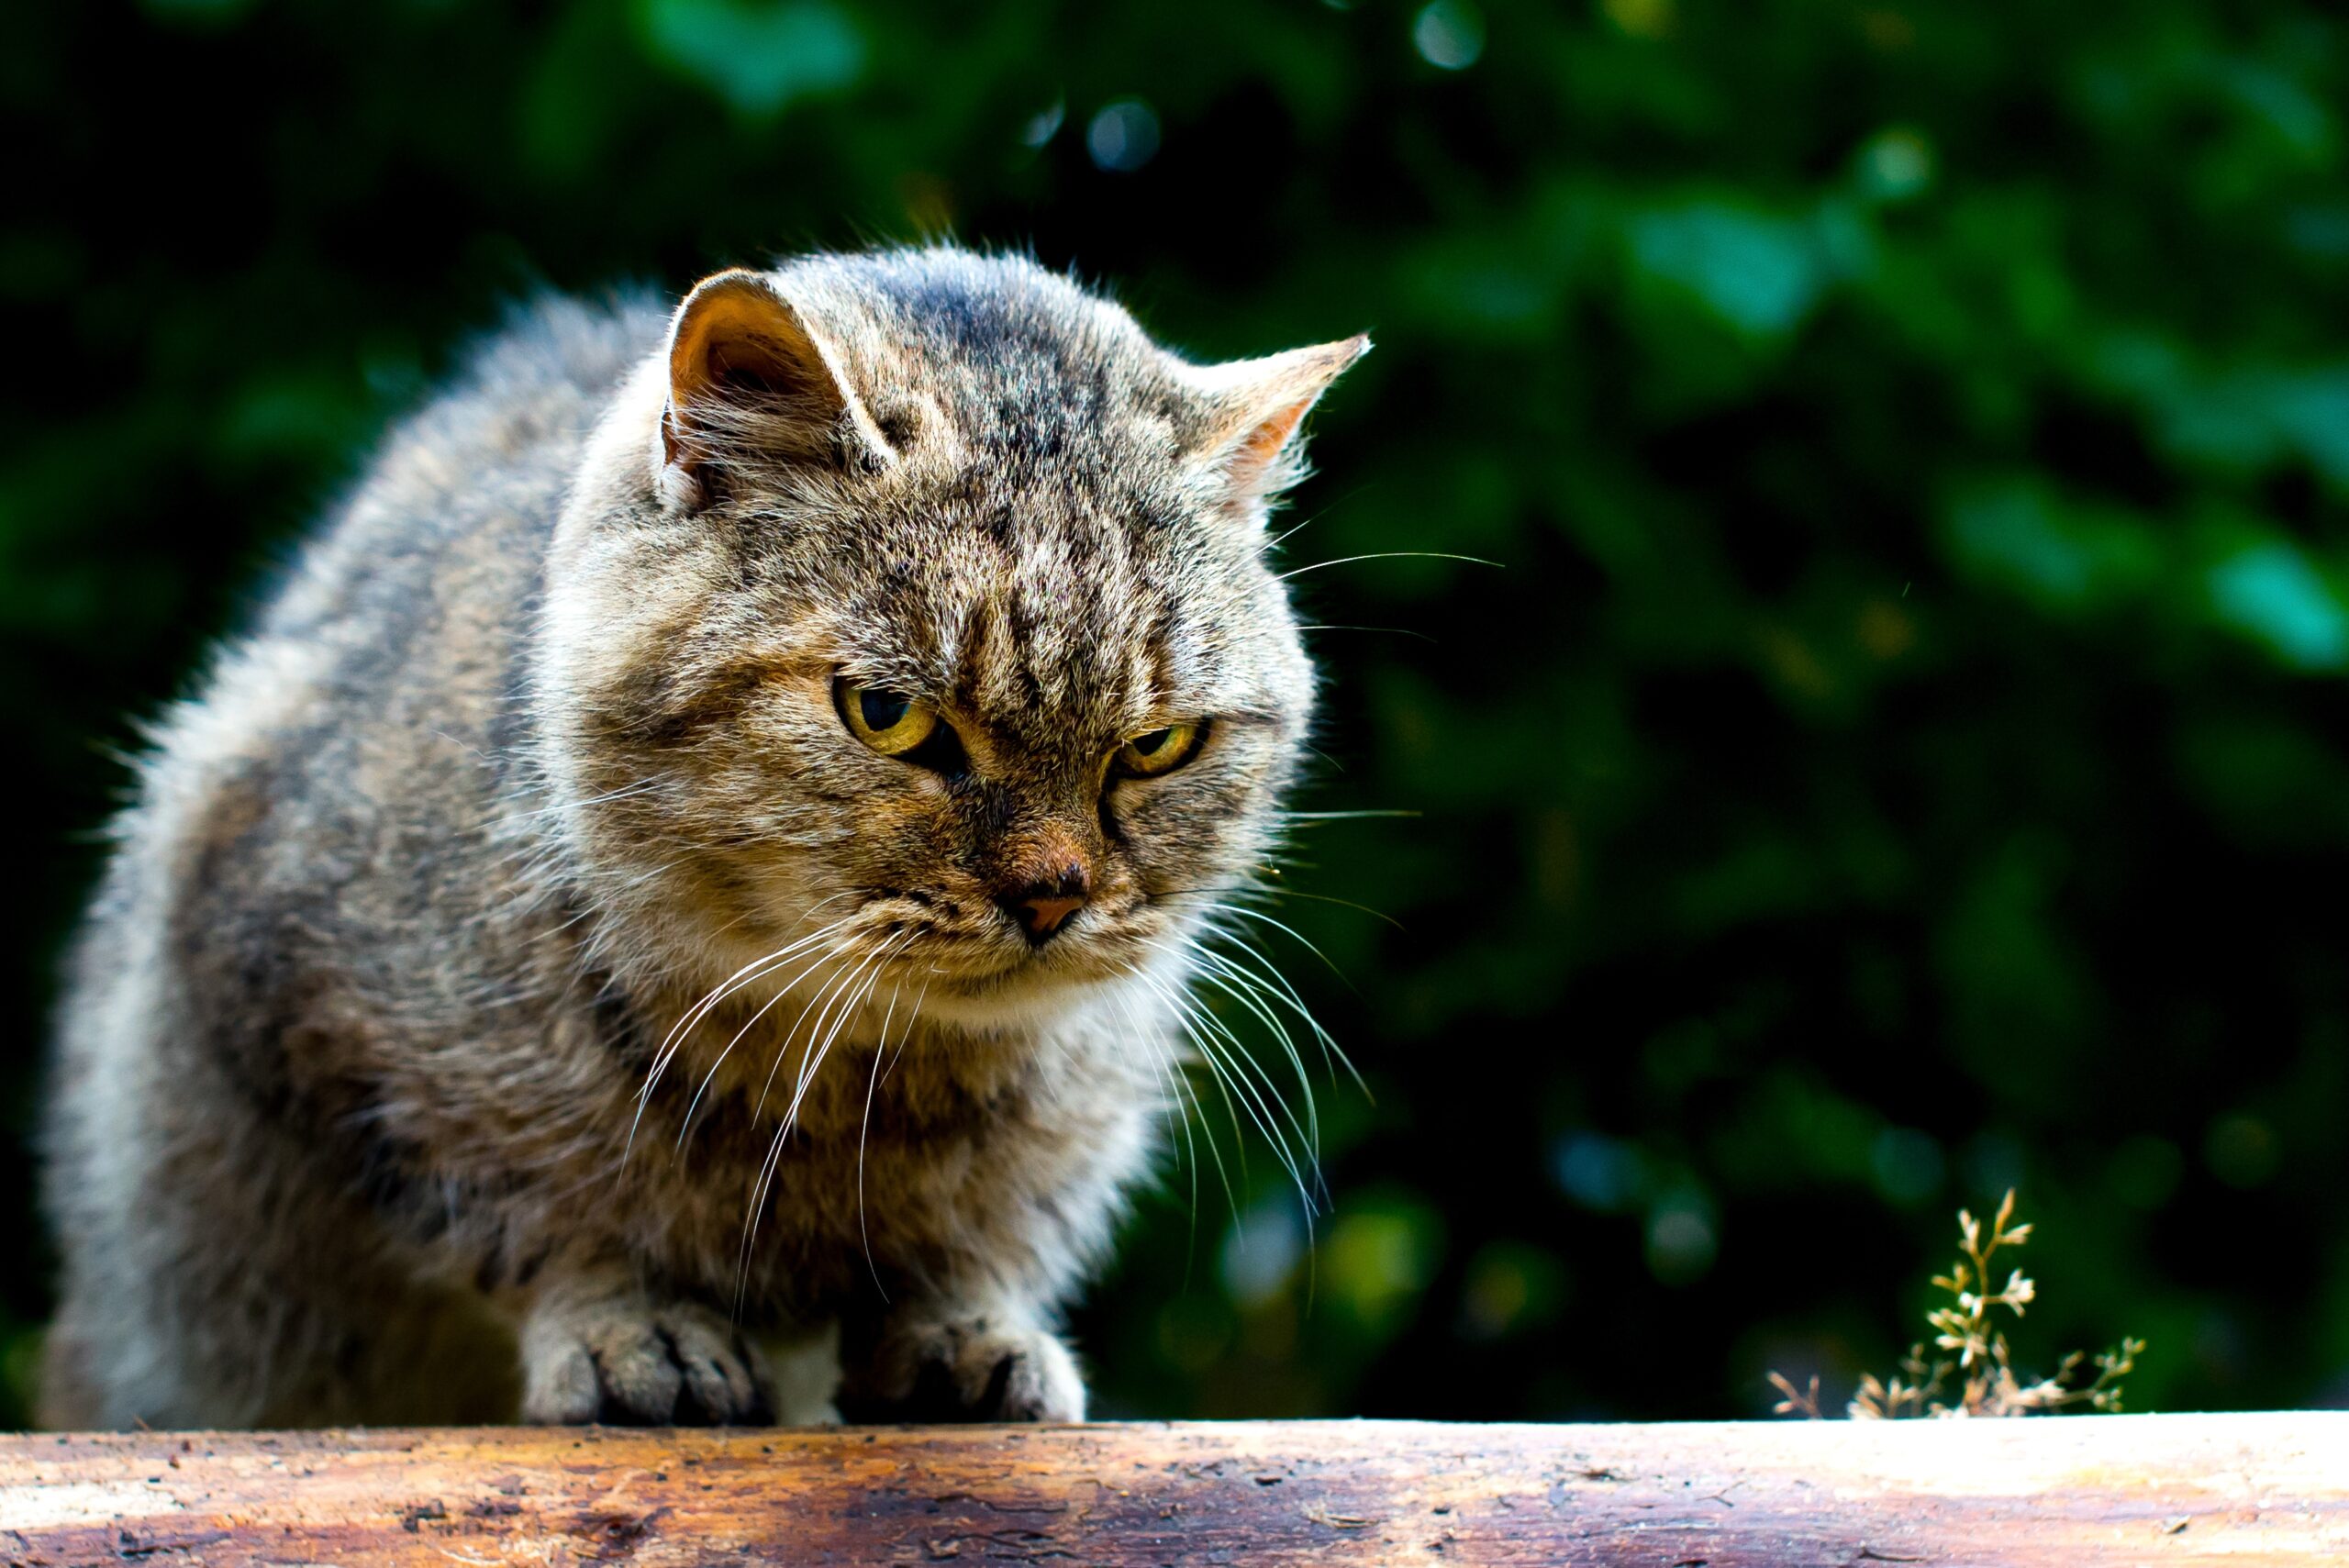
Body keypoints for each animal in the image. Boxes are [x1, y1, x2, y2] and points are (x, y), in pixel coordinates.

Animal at [37, 247, 1372, 1436]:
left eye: (1156, 745)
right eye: (887, 714)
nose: (1054, 894)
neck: (855, 1085)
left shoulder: (1079, 1119)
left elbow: (987, 1239)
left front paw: (962, 1326)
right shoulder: (315, 1022)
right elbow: (531, 1210)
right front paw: (631, 1325)